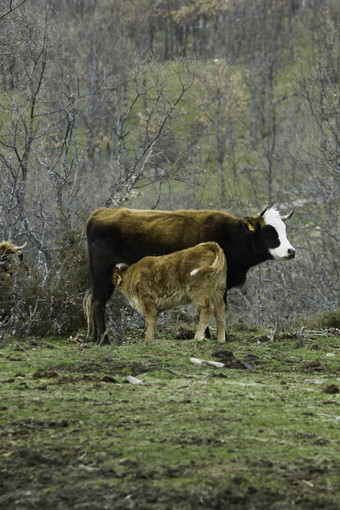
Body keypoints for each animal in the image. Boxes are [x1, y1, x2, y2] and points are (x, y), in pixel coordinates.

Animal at [85, 205, 294, 344]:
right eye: (269, 231)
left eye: (284, 229)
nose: (291, 251)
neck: (231, 235)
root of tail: (99, 213)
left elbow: (219, 309)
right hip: (101, 272)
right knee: (97, 302)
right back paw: (104, 341)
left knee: (95, 301)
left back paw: (96, 339)